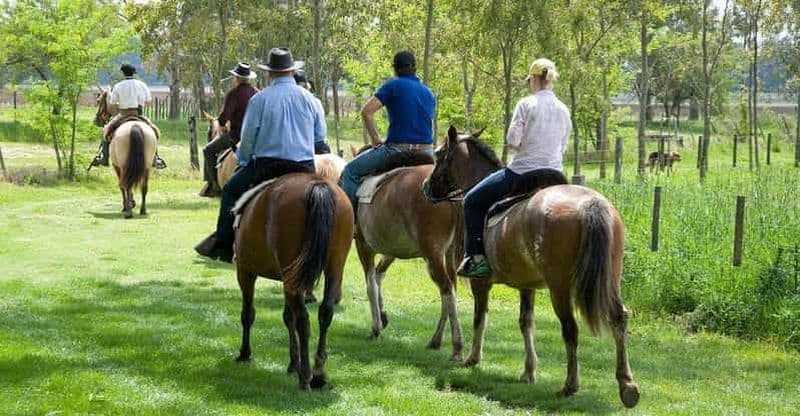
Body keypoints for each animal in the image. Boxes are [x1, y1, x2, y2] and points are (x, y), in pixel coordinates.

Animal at [233, 172, 354, 390]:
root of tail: (317, 184)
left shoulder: (245, 272)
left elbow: (248, 314)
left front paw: (245, 353)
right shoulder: (289, 280)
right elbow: (287, 317)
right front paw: (292, 364)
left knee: (303, 320)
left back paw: (305, 376)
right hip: (333, 268)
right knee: (325, 313)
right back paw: (318, 372)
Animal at [350, 144, 465, 360]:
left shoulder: (364, 246)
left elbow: (370, 284)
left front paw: (376, 327)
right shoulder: (391, 252)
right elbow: (379, 276)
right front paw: (383, 316)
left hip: (433, 255)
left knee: (447, 290)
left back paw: (457, 347)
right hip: (448, 255)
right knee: (450, 289)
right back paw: (436, 340)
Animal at [422, 126, 640, 408]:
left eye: (439, 154)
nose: (426, 187)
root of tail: (590, 205)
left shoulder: (481, 283)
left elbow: (480, 318)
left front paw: (473, 358)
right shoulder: (527, 286)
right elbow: (526, 323)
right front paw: (528, 371)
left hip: (559, 287)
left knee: (570, 328)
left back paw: (570, 385)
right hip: (610, 280)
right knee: (618, 318)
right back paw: (627, 386)